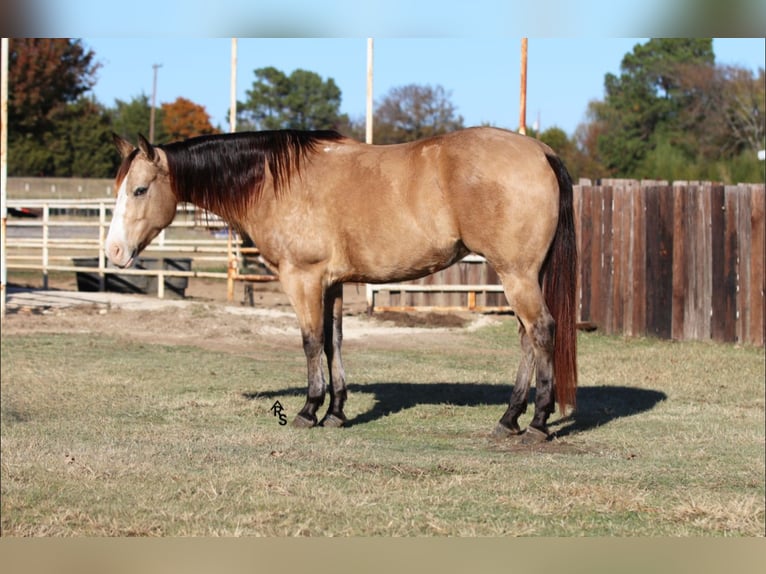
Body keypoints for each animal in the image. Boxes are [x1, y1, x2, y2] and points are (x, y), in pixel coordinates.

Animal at [105, 128, 580, 440]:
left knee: (541, 331)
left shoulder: (303, 278)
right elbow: (334, 342)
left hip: (516, 274)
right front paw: (335, 412)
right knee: (525, 336)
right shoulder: (331, 284)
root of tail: (541, 151)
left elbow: (311, 342)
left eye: (140, 190)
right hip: (522, 275)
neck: (276, 182)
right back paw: (509, 418)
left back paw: (537, 423)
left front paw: (308, 410)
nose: (113, 252)